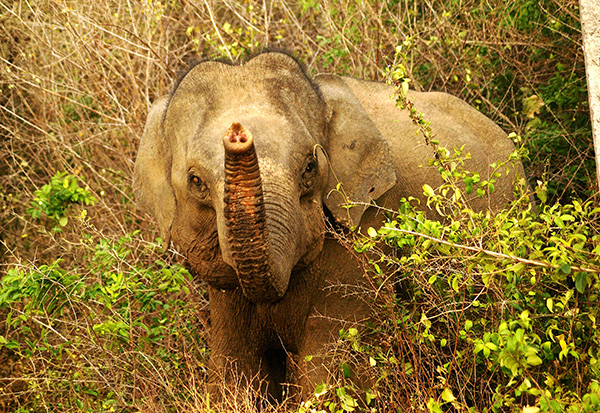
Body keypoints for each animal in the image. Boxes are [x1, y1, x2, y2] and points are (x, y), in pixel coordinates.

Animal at [132, 51, 524, 402]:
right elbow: (236, 368)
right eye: (196, 181)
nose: (238, 133)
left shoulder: (366, 232)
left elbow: (329, 367)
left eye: (310, 167)